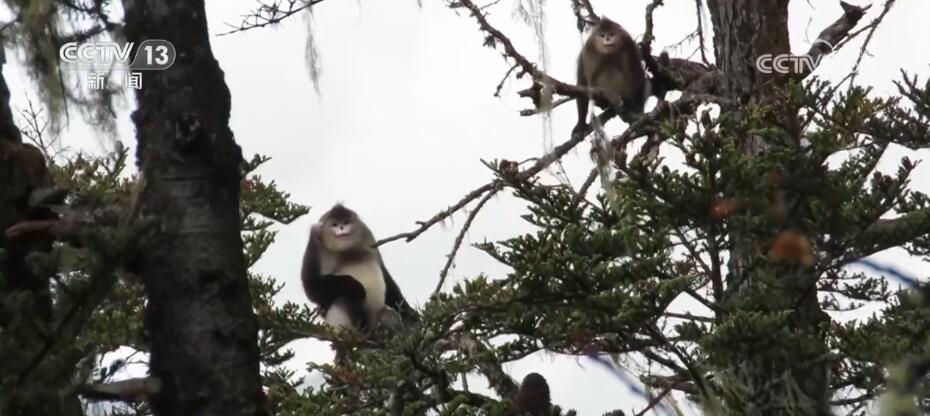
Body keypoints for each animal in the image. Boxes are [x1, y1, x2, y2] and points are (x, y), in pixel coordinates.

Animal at [300, 203, 416, 334]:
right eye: (334, 224)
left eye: (346, 222)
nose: (341, 228)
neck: (347, 251)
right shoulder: (314, 245)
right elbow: (311, 285)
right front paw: (357, 286)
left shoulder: (368, 235)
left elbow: (385, 275)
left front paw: (408, 311)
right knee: (347, 297)